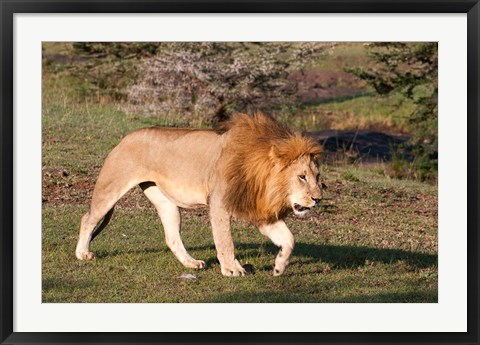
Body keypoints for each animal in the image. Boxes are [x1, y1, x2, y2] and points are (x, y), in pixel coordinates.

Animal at [75, 114, 322, 276]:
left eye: (317, 176)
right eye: (302, 177)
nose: (318, 199)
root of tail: (125, 137)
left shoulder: (258, 210)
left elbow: (288, 239)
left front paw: (279, 267)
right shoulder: (220, 204)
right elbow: (225, 241)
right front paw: (232, 270)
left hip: (166, 202)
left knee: (172, 236)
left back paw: (191, 264)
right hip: (110, 187)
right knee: (87, 218)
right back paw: (82, 254)